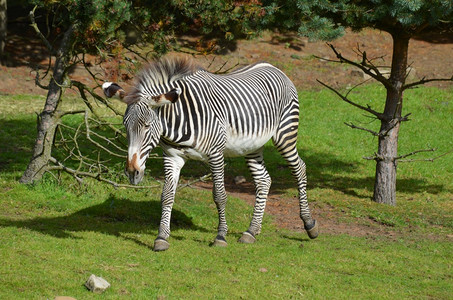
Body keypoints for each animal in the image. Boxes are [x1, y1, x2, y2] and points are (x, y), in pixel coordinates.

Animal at [101, 55, 318, 251]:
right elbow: (167, 195)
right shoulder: (172, 157)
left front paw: (220, 236)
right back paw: (251, 231)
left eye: (147, 126)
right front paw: (161, 237)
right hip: (252, 145)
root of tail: (272, 66)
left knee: (300, 168)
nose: (132, 172)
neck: (178, 121)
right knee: (264, 180)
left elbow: (219, 195)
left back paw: (309, 224)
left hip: (285, 135)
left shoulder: (216, 155)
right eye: (125, 126)